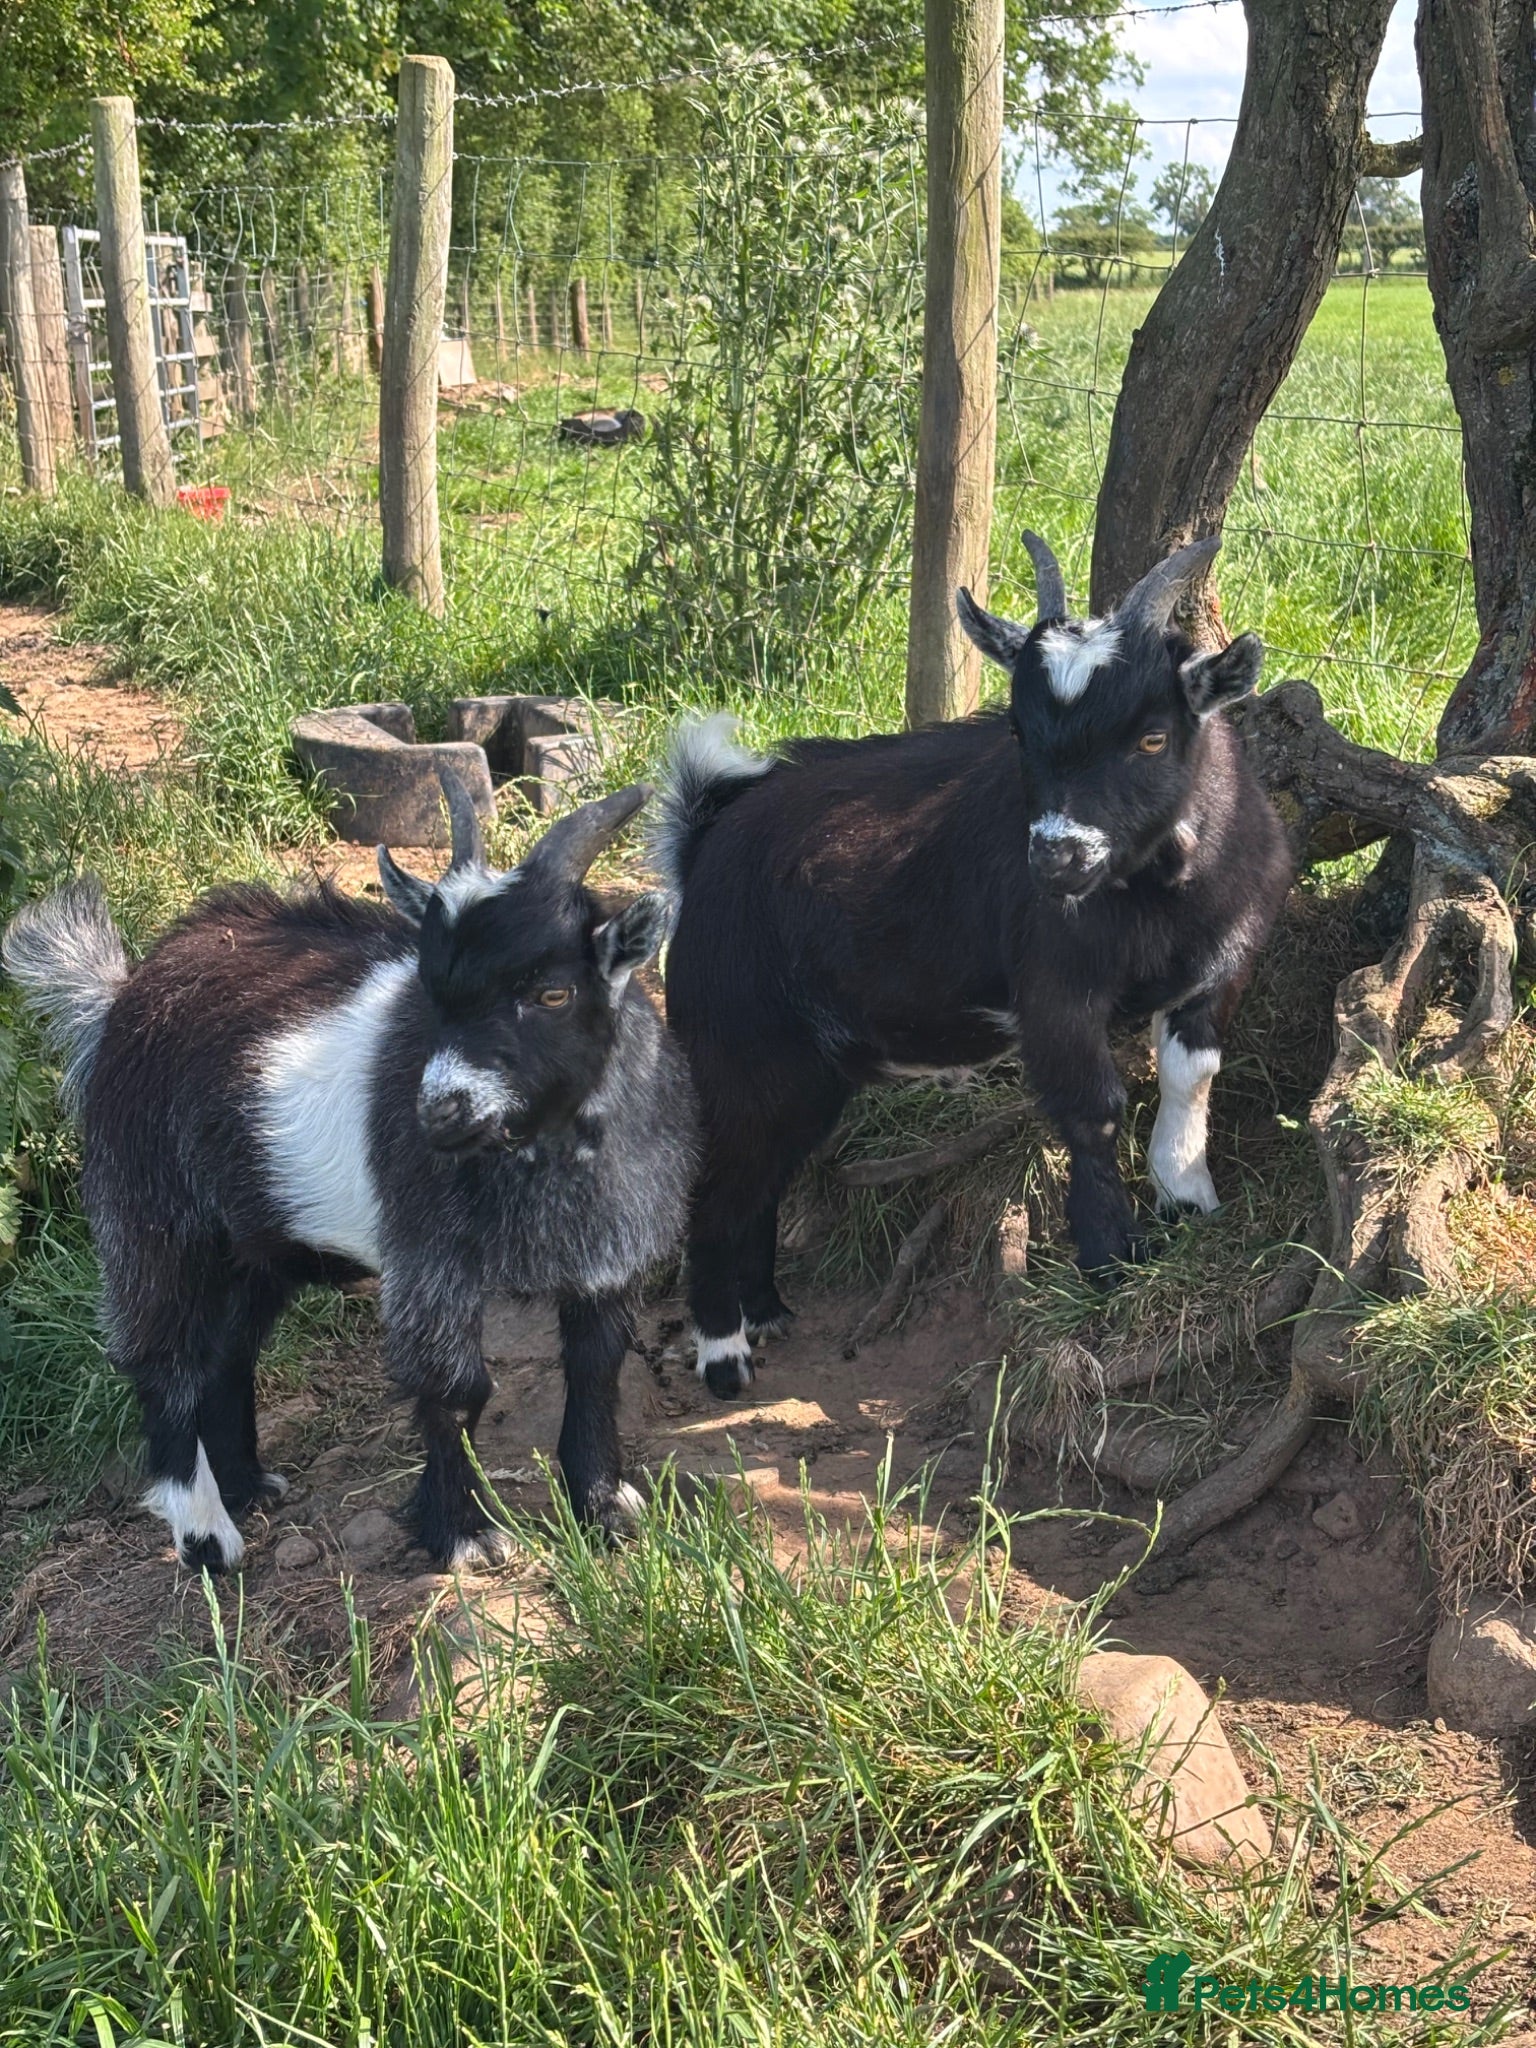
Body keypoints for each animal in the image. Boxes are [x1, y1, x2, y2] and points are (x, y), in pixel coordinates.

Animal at [3, 779, 696, 1569]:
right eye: (428, 985)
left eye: (553, 993)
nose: (439, 1111)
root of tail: (119, 995)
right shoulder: (430, 1260)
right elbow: (457, 1389)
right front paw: (463, 1533)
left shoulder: (607, 1256)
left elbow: (597, 1368)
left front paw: (605, 1510)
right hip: (151, 1208)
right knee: (163, 1359)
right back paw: (207, 1535)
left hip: (258, 1233)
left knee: (228, 1352)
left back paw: (246, 1484)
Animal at [654, 532, 1293, 1395]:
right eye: (1020, 732)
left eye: (1152, 736)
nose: (1056, 858)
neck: (1156, 894)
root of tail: (702, 847)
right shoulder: (1054, 992)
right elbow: (1093, 1107)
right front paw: (1111, 1260)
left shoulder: (1215, 975)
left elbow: (1192, 1077)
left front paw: (1188, 1201)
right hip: (738, 1044)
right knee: (717, 1191)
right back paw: (724, 1357)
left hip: (809, 1070)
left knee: (765, 1176)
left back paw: (768, 1312)